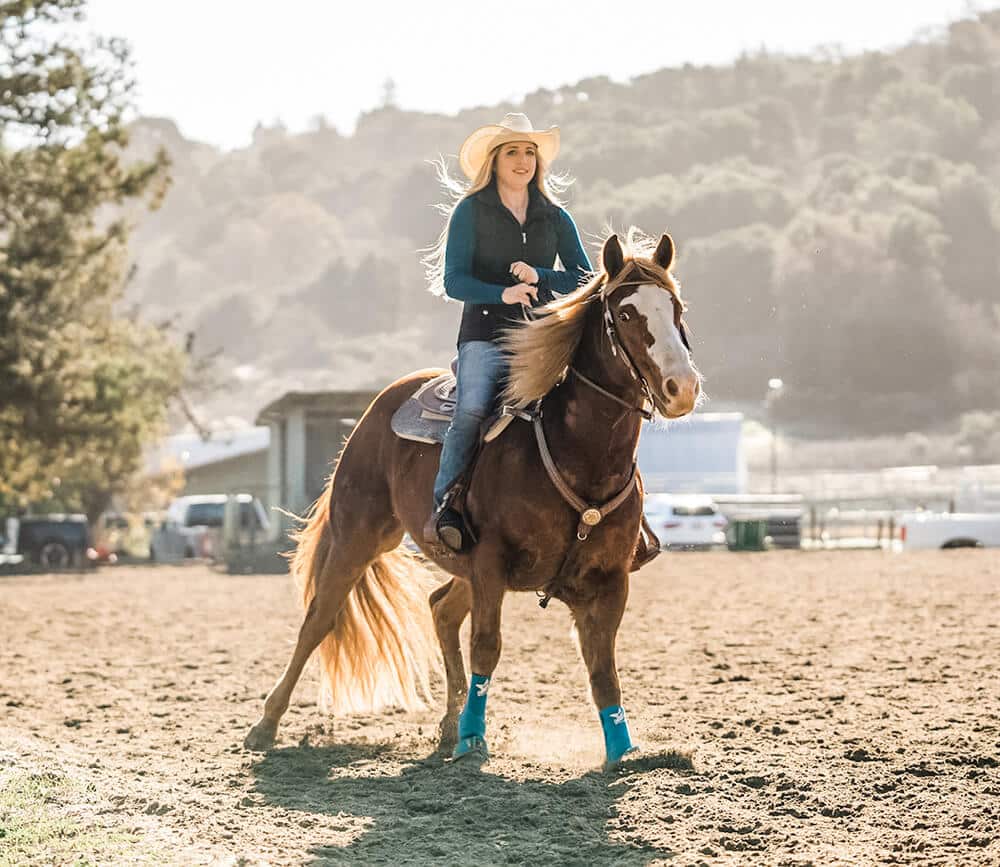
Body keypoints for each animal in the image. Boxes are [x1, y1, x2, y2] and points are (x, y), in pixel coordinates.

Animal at [245, 229, 700, 768]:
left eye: (676, 309)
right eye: (626, 315)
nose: (682, 388)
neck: (575, 453)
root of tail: (380, 405)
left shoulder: (609, 581)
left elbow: (602, 668)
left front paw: (622, 751)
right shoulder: (491, 563)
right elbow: (488, 646)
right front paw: (473, 739)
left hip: (455, 564)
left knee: (440, 609)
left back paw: (447, 725)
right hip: (360, 535)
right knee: (319, 619)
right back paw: (266, 725)